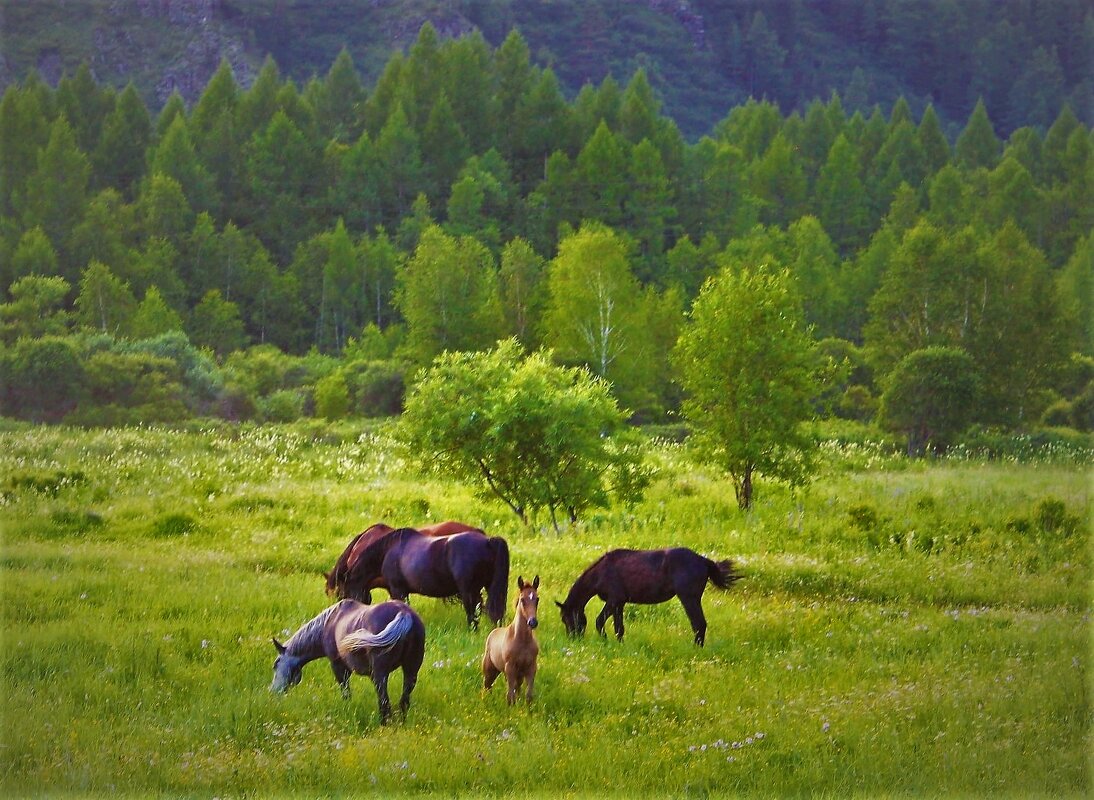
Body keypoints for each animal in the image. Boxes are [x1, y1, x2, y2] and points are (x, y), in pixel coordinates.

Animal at [270, 599, 426, 726]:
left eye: (276, 664)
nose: (273, 691)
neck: (329, 623)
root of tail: (404, 613)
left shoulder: (338, 666)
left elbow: (346, 693)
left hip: (380, 674)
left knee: (384, 703)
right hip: (411, 670)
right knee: (404, 702)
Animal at [555, 547, 743, 647]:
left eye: (565, 618)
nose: (573, 639)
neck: (602, 572)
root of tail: (703, 560)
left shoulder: (613, 600)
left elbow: (599, 621)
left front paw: (605, 641)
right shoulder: (619, 603)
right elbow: (619, 628)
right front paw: (620, 645)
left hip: (689, 598)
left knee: (698, 624)